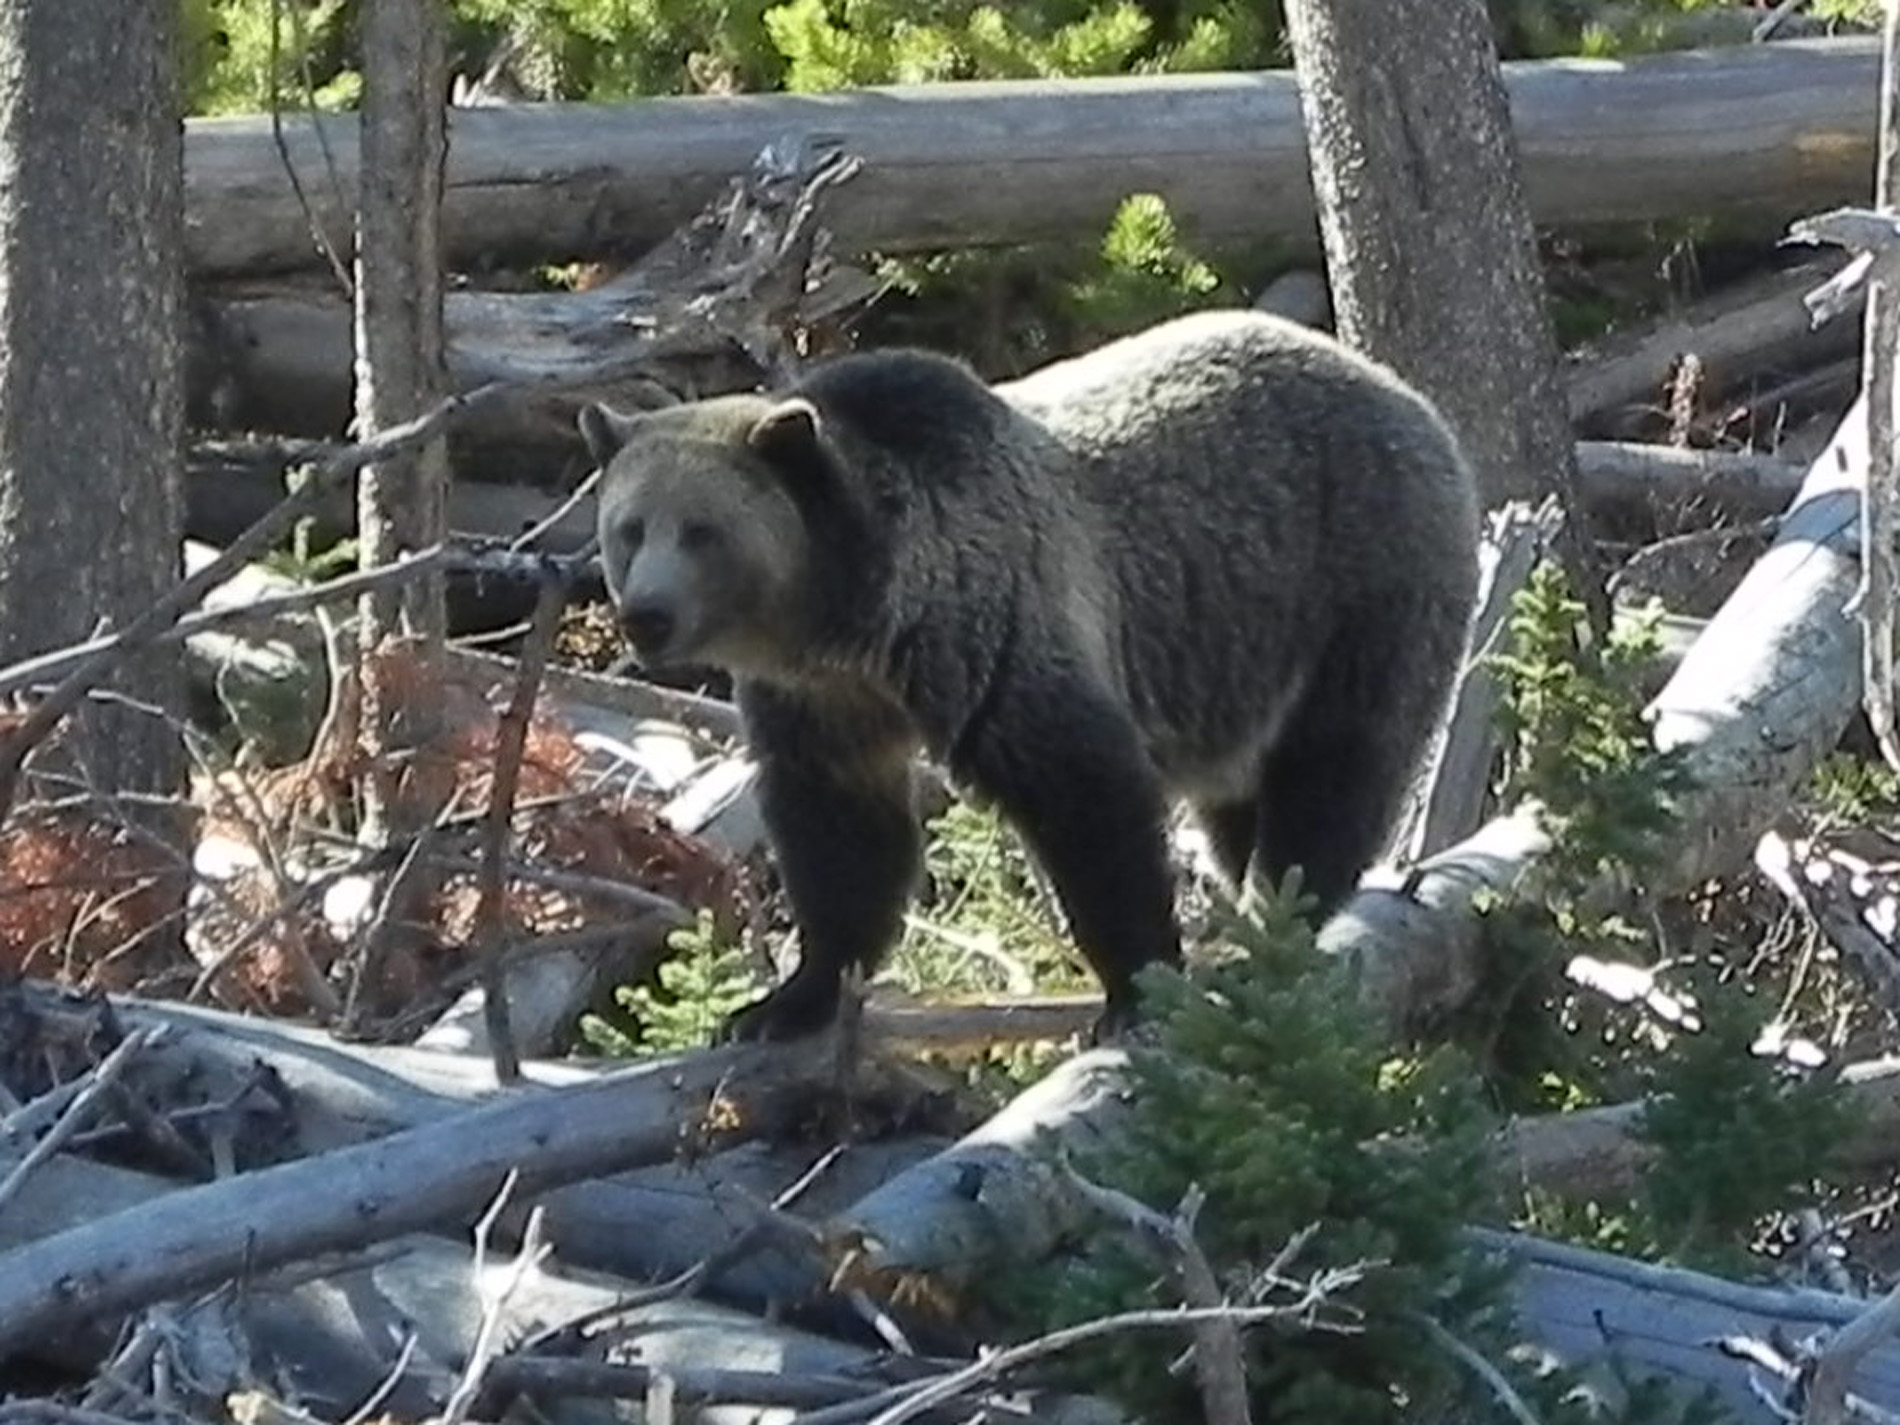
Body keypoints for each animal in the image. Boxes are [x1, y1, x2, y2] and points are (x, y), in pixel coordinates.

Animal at [578, 308, 1482, 1044]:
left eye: (702, 531)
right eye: (629, 528)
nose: (647, 615)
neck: (856, 612)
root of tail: (1404, 392)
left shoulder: (998, 632)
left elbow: (1086, 793)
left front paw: (1136, 988)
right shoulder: (822, 701)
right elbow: (838, 831)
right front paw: (787, 998)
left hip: (1358, 581)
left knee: (1333, 767)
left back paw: (1285, 913)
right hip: (1240, 654)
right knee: (1241, 799)